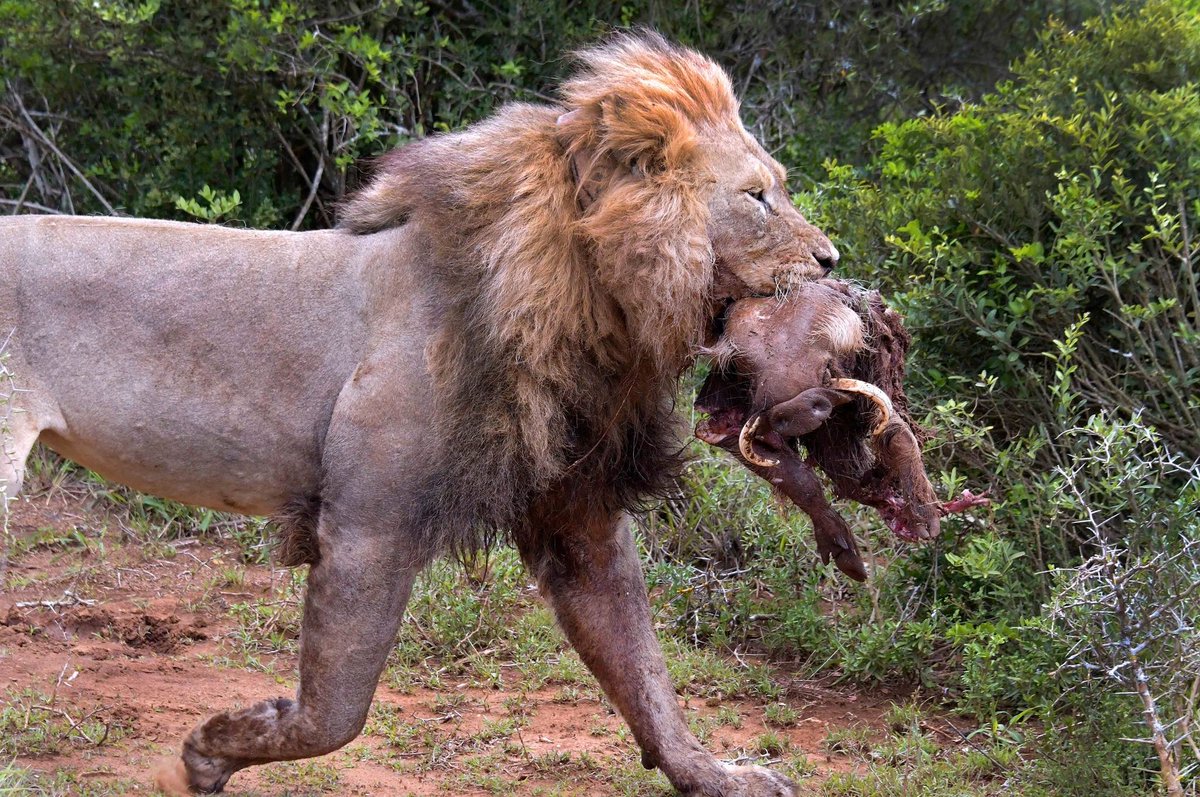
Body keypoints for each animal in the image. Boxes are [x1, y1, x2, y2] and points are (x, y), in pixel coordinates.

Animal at [0, 33, 837, 795]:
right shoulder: (368, 522)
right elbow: (334, 712)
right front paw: (209, 751)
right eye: (757, 196)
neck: (593, 304)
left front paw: (718, 774)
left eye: (778, 186)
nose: (831, 259)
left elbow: (643, 668)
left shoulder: (577, 512)